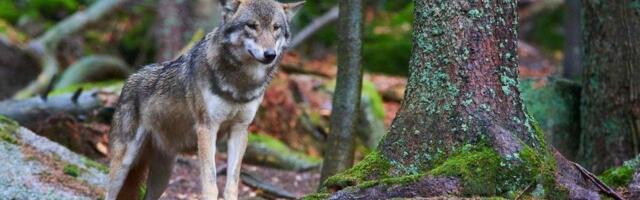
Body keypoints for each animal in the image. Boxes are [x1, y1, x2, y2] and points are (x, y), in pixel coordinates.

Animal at [105, 0, 304, 199]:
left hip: (163, 176)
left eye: (276, 27)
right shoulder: (207, 128)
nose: (270, 54)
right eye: (252, 26)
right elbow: (210, 183)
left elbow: (232, 184)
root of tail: (130, 78)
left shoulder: (239, 130)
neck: (240, 83)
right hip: (123, 165)